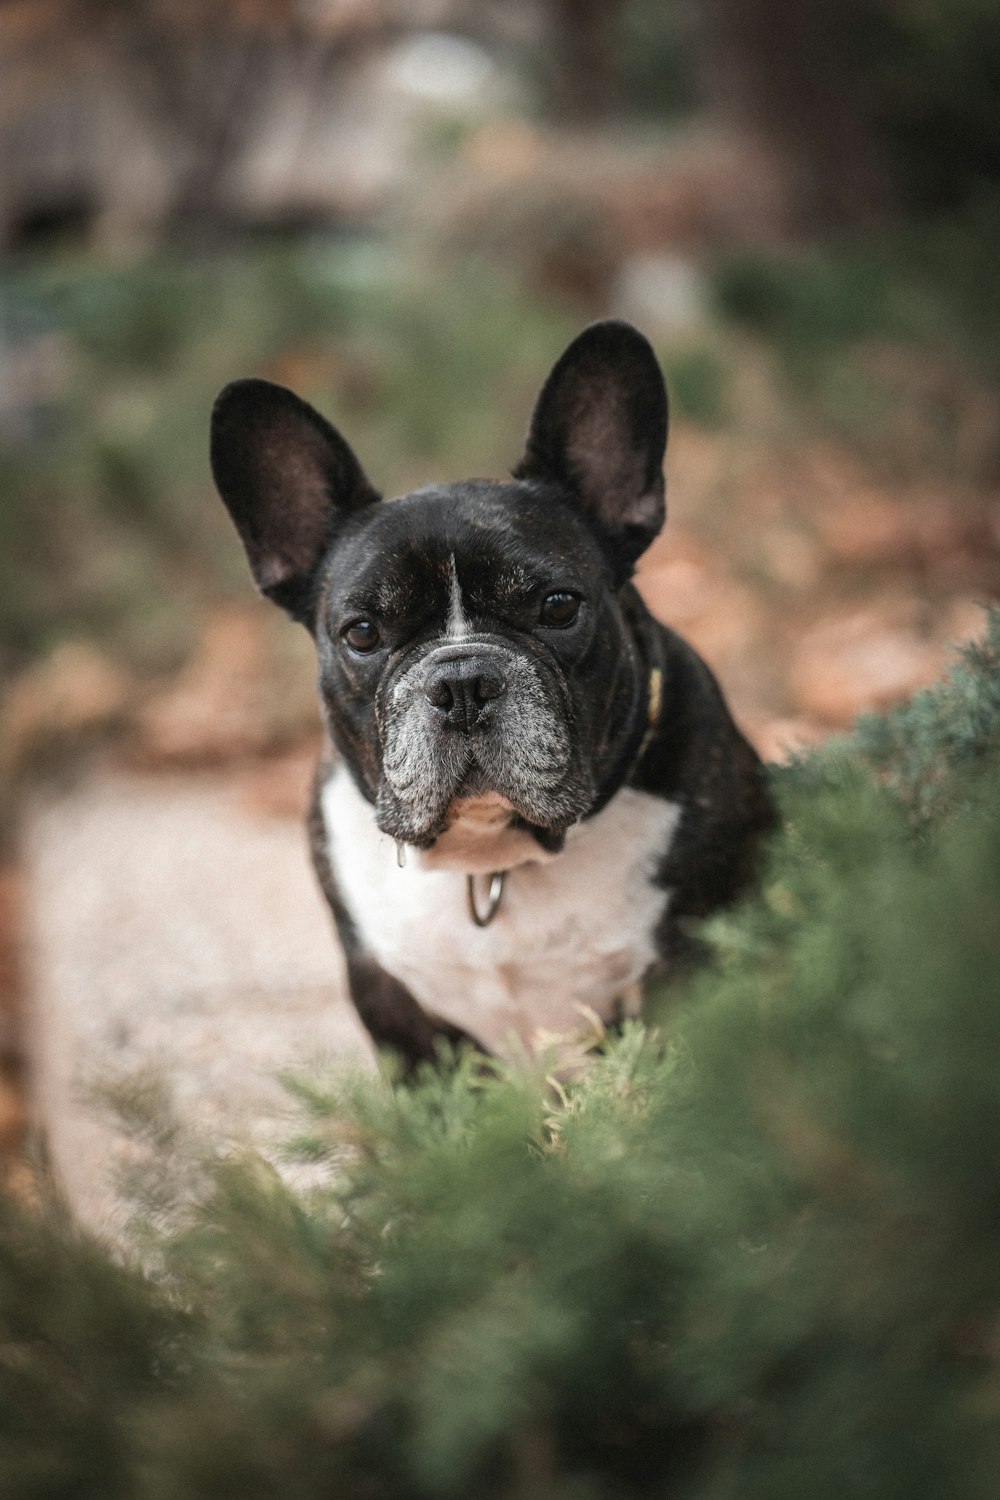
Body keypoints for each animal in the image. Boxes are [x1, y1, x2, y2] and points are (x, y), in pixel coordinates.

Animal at [209, 319, 773, 1068]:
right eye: (362, 632)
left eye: (559, 606)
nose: (461, 681)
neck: (492, 864)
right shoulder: (391, 1004)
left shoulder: (689, 967)